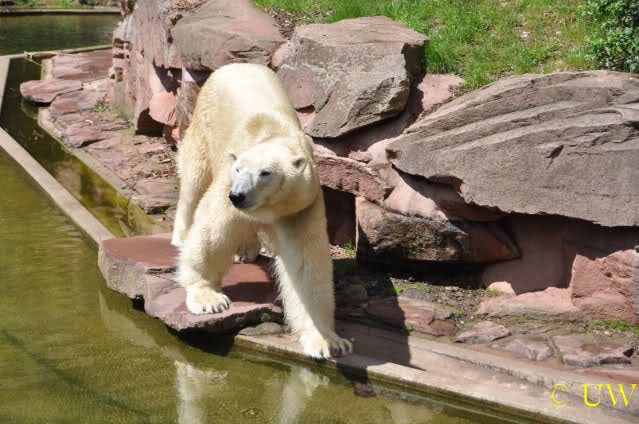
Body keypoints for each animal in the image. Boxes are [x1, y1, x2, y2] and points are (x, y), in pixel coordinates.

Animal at [171, 63, 353, 359]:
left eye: (265, 173)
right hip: (204, 123)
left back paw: (246, 251)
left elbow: (306, 266)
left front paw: (328, 342)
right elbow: (213, 232)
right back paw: (181, 236)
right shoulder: (228, 183)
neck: (275, 135)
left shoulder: (302, 205)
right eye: (239, 169)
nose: (239, 196)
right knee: (193, 180)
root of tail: (234, 65)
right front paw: (209, 299)